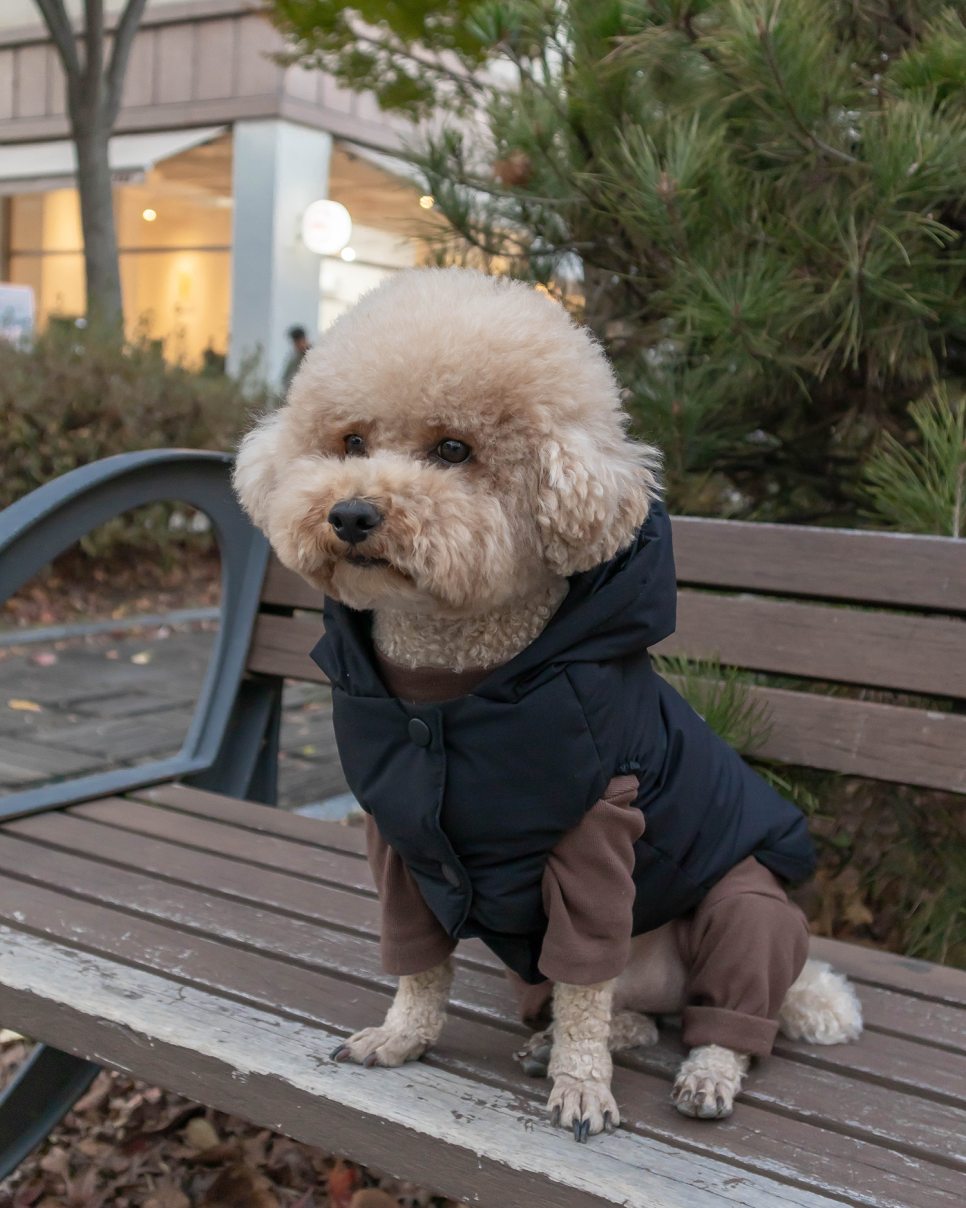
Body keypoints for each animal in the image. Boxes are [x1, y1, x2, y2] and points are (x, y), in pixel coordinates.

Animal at [231, 266, 859, 1140]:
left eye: (453, 449)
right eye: (351, 441)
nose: (352, 512)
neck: (447, 685)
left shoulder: (597, 832)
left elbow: (586, 980)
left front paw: (583, 1087)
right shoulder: (402, 841)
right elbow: (421, 960)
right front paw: (402, 1036)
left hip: (746, 906)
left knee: (722, 1016)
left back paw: (703, 1071)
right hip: (531, 965)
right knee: (625, 1014)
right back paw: (563, 1041)